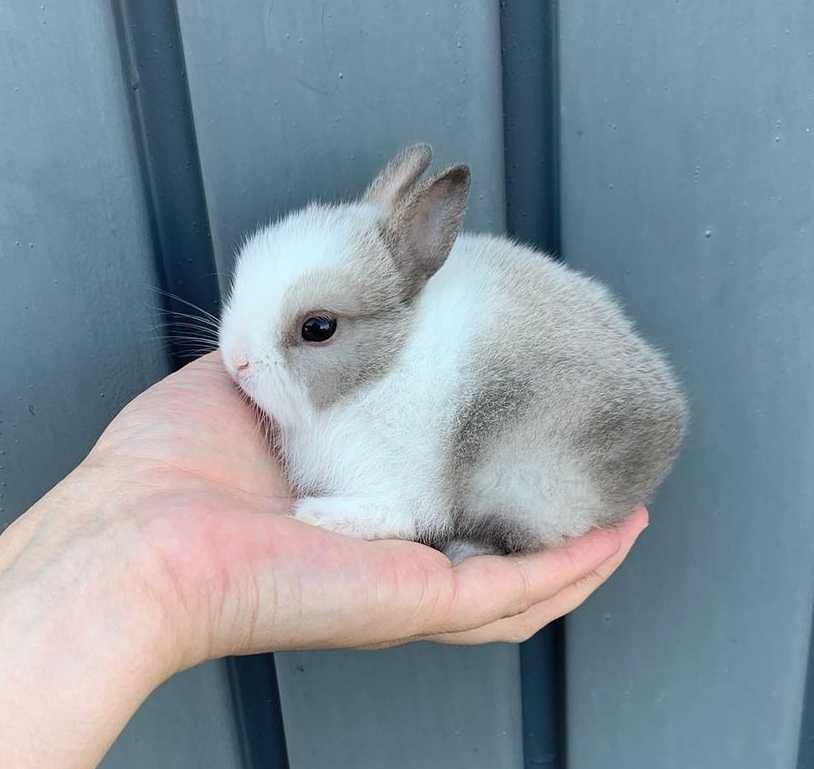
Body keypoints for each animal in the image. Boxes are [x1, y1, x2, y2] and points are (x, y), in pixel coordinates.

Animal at [218, 144, 688, 552]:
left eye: (318, 328)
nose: (237, 362)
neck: (384, 369)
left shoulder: (392, 484)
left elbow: (394, 517)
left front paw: (323, 516)